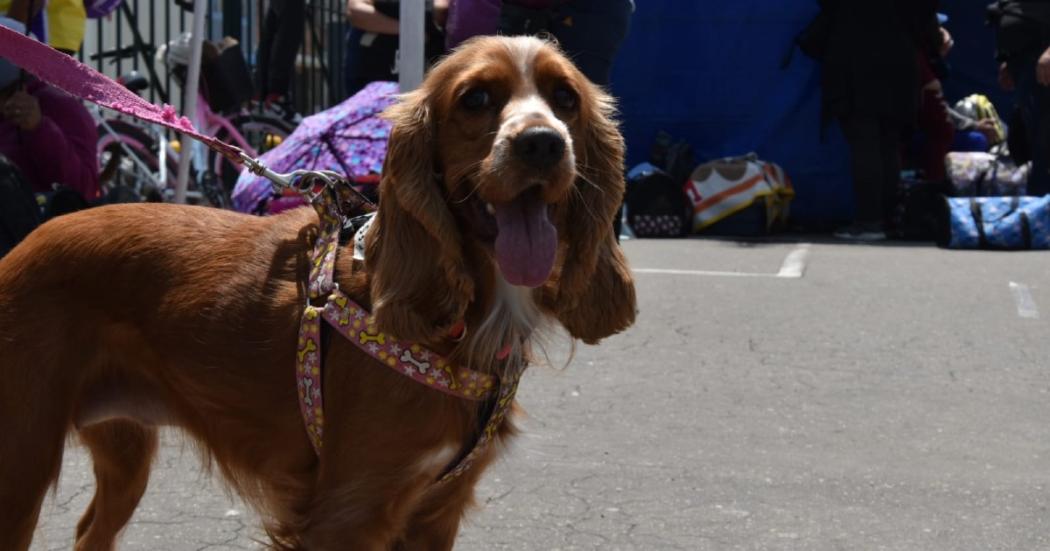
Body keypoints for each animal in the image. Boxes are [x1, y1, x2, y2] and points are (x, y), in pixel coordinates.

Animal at [0, 35, 630, 549]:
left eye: (565, 98)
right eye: (475, 99)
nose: (544, 144)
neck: (454, 320)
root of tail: (16, 252)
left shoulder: (436, 511)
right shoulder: (348, 512)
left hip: (123, 455)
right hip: (20, 466)